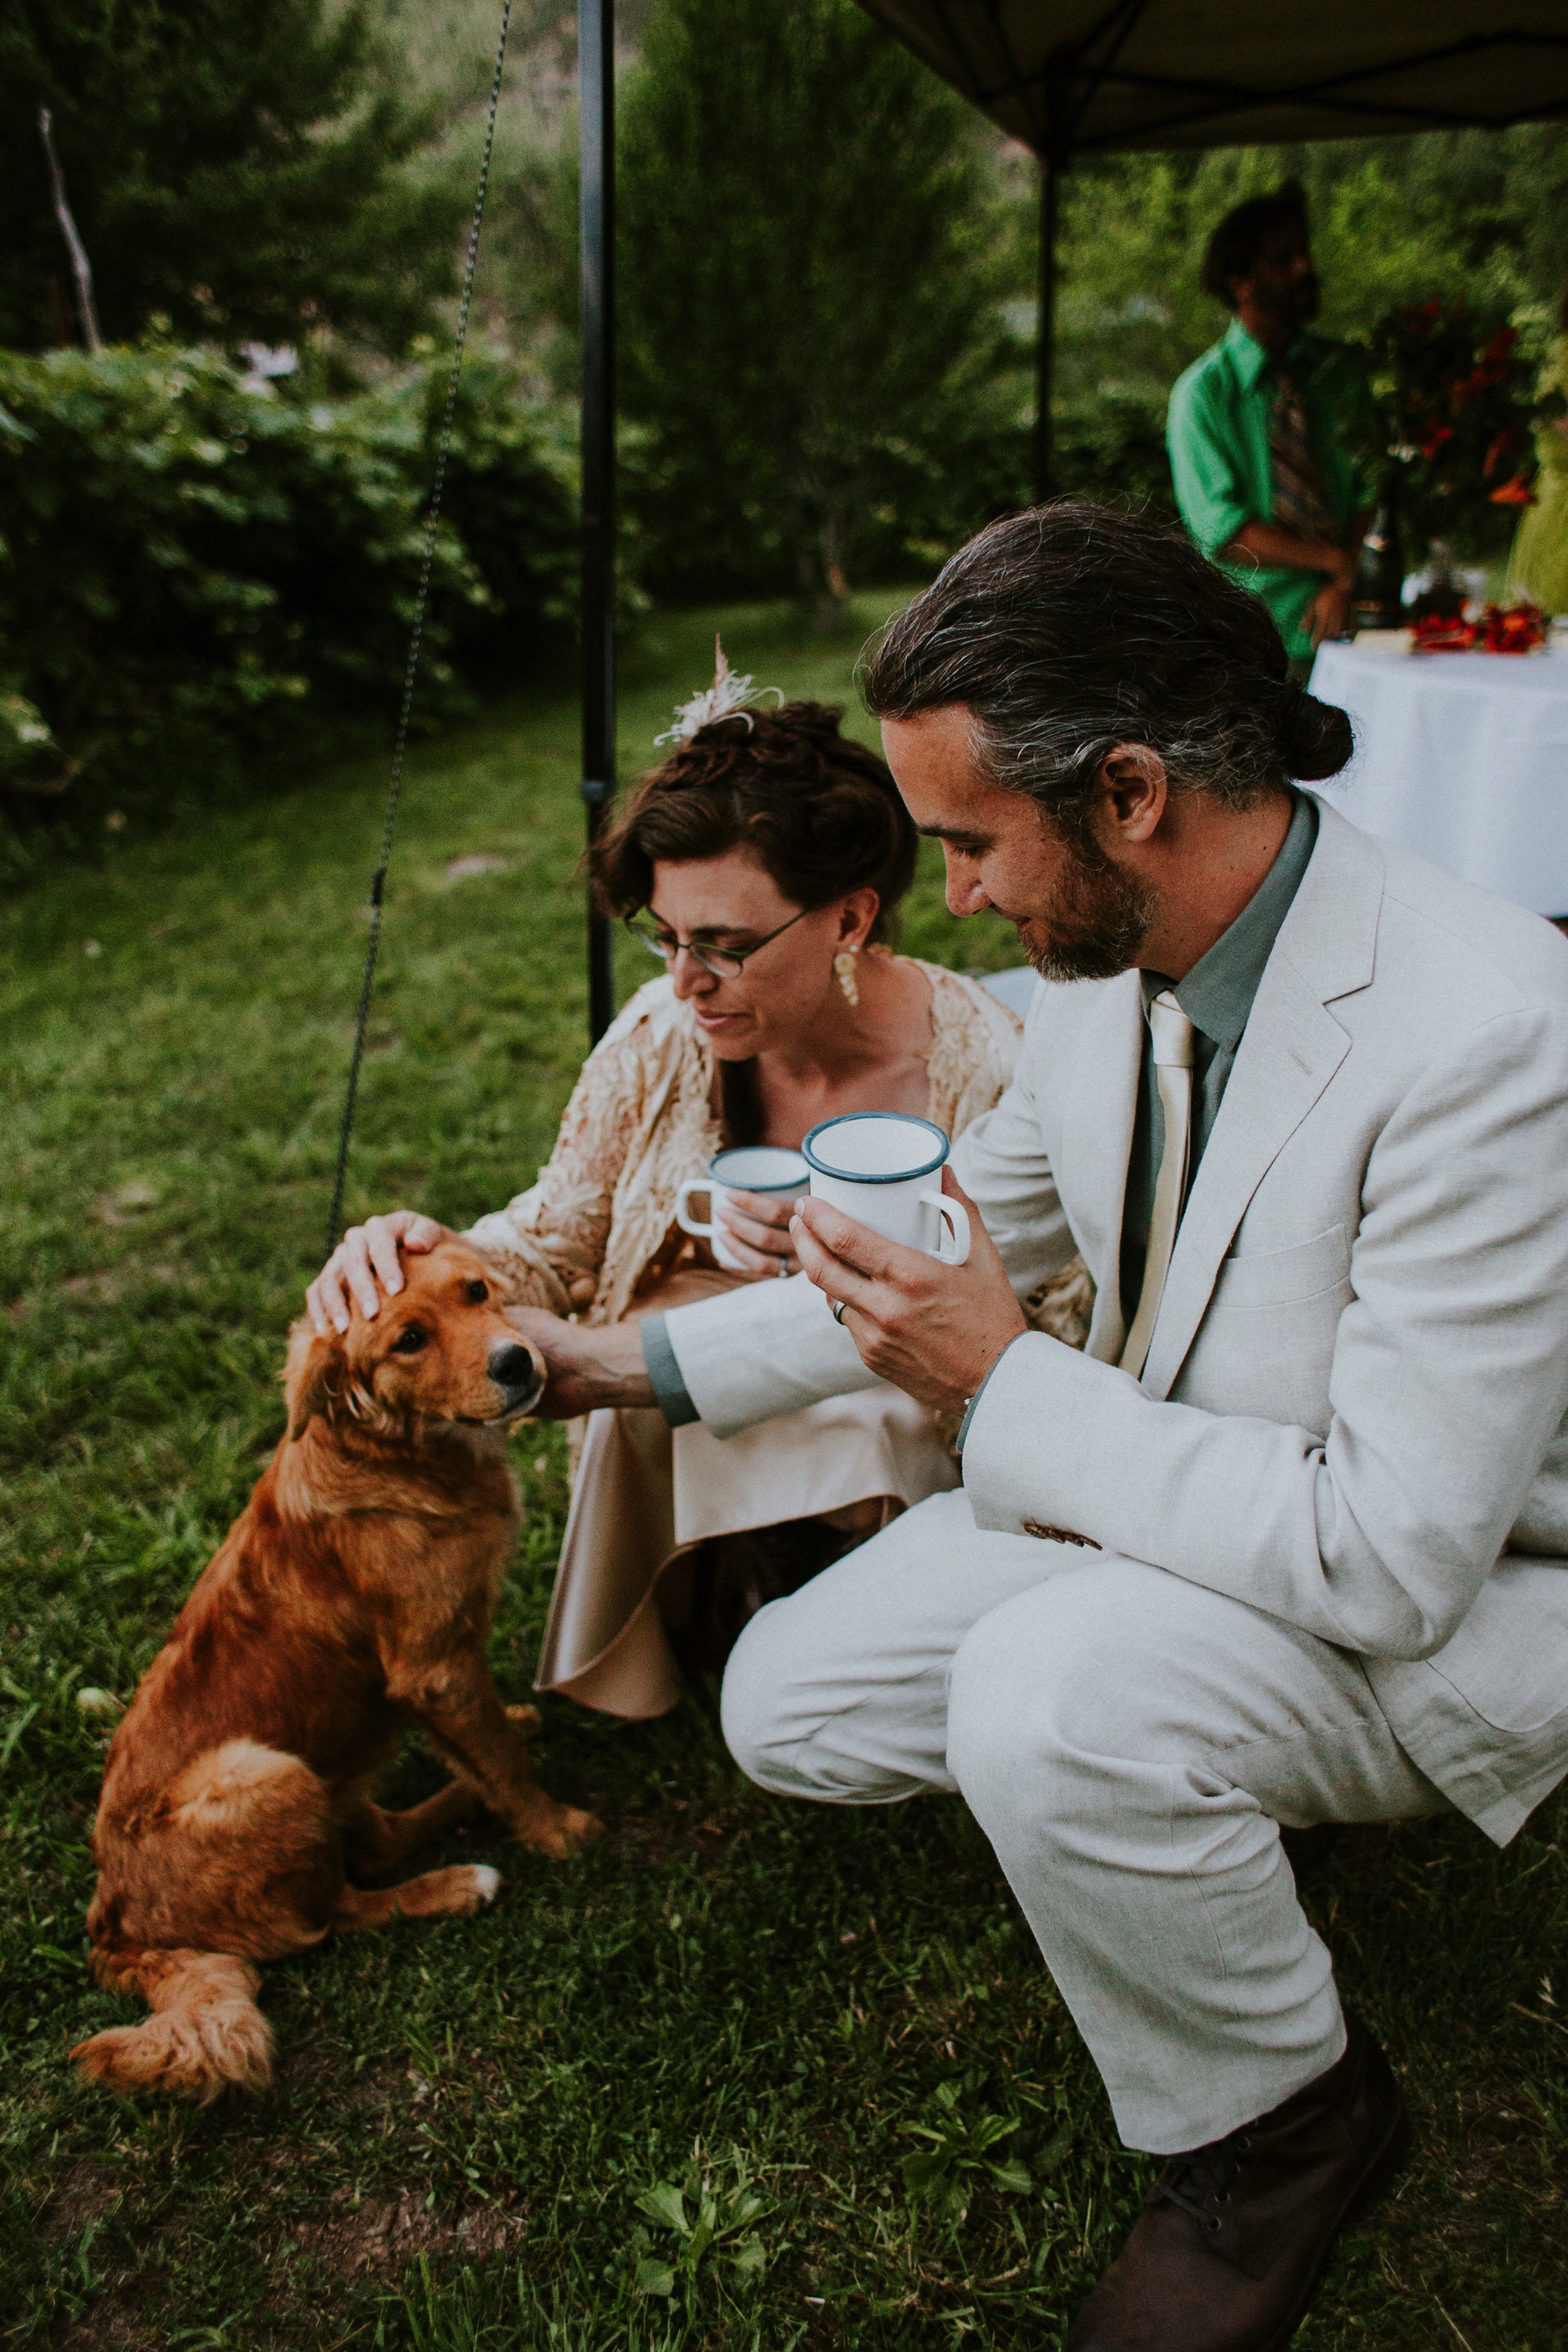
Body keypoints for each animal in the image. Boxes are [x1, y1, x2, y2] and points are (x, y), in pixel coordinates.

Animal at [67, 1242, 597, 2107]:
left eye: (475, 1292)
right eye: (409, 1340)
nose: (516, 1361)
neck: (406, 1455)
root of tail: (114, 1924)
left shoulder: (446, 1672)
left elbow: (489, 1743)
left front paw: (503, 1753)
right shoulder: (434, 1669)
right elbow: (506, 1764)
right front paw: (555, 1830)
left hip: (315, 1776)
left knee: (373, 1841)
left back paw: (462, 1801)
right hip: (264, 1773)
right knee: (336, 1912)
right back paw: (458, 1884)